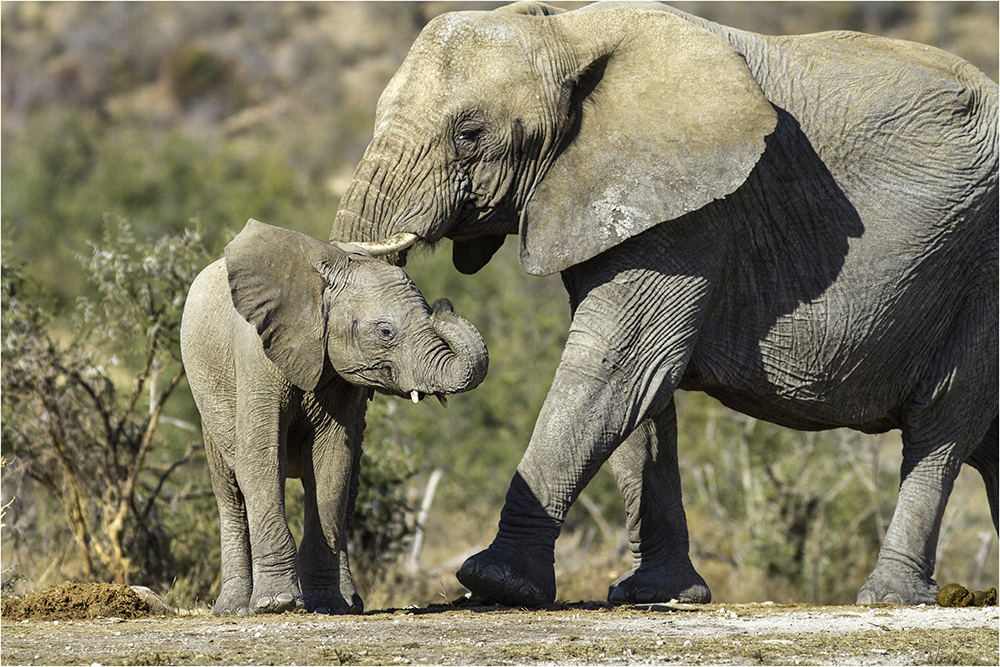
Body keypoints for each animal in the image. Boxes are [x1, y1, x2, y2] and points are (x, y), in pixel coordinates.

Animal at [183, 219, 488, 616]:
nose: (444, 305)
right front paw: (277, 604)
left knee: (349, 483)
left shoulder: (341, 382)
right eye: (385, 332)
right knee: (230, 491)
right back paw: (234, 609)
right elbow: (261, 460)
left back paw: (349, 604)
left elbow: (332, 466)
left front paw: (325, 604)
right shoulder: (256, 354)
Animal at [330, 0, 1000, 608]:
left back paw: (890, 597)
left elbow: (618, 368)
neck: (565, 30)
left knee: (941, 425)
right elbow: (643, 394)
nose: (444, 306)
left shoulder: (694, 211)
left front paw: (494, 583)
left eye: (470, 134)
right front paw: (657, 594)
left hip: (978, 272)